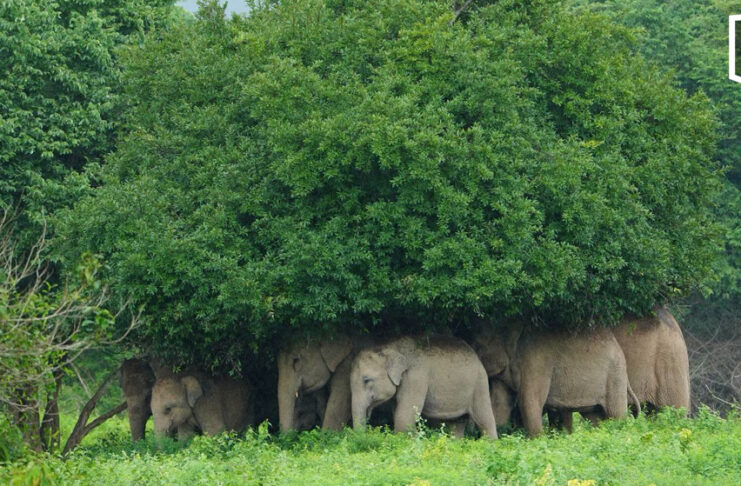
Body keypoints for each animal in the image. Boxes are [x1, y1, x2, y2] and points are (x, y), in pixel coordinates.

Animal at [350, 335, 498, 439]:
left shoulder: (416, 377)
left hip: (479, 382)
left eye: (366, 380)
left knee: (484, 418)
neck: (390, 347)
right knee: (457, 423)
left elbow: (404, 417)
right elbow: (398, 412)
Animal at [475, 324, 638, 437]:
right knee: (594, 416)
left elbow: (529, 402)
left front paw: (535, 441)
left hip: (615, 376)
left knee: (616, 414)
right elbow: (500, 403)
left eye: (477, 346)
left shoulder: (536, 362)